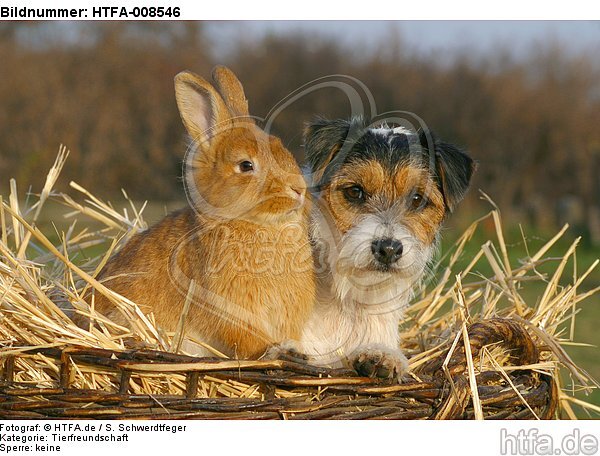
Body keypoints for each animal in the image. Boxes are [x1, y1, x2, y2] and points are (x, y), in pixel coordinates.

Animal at [92, 67, 316, 360]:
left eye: (281, 147)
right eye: (246, 165)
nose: (299, 189)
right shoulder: (232, 314)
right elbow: (249, 343)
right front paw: (279, 351)